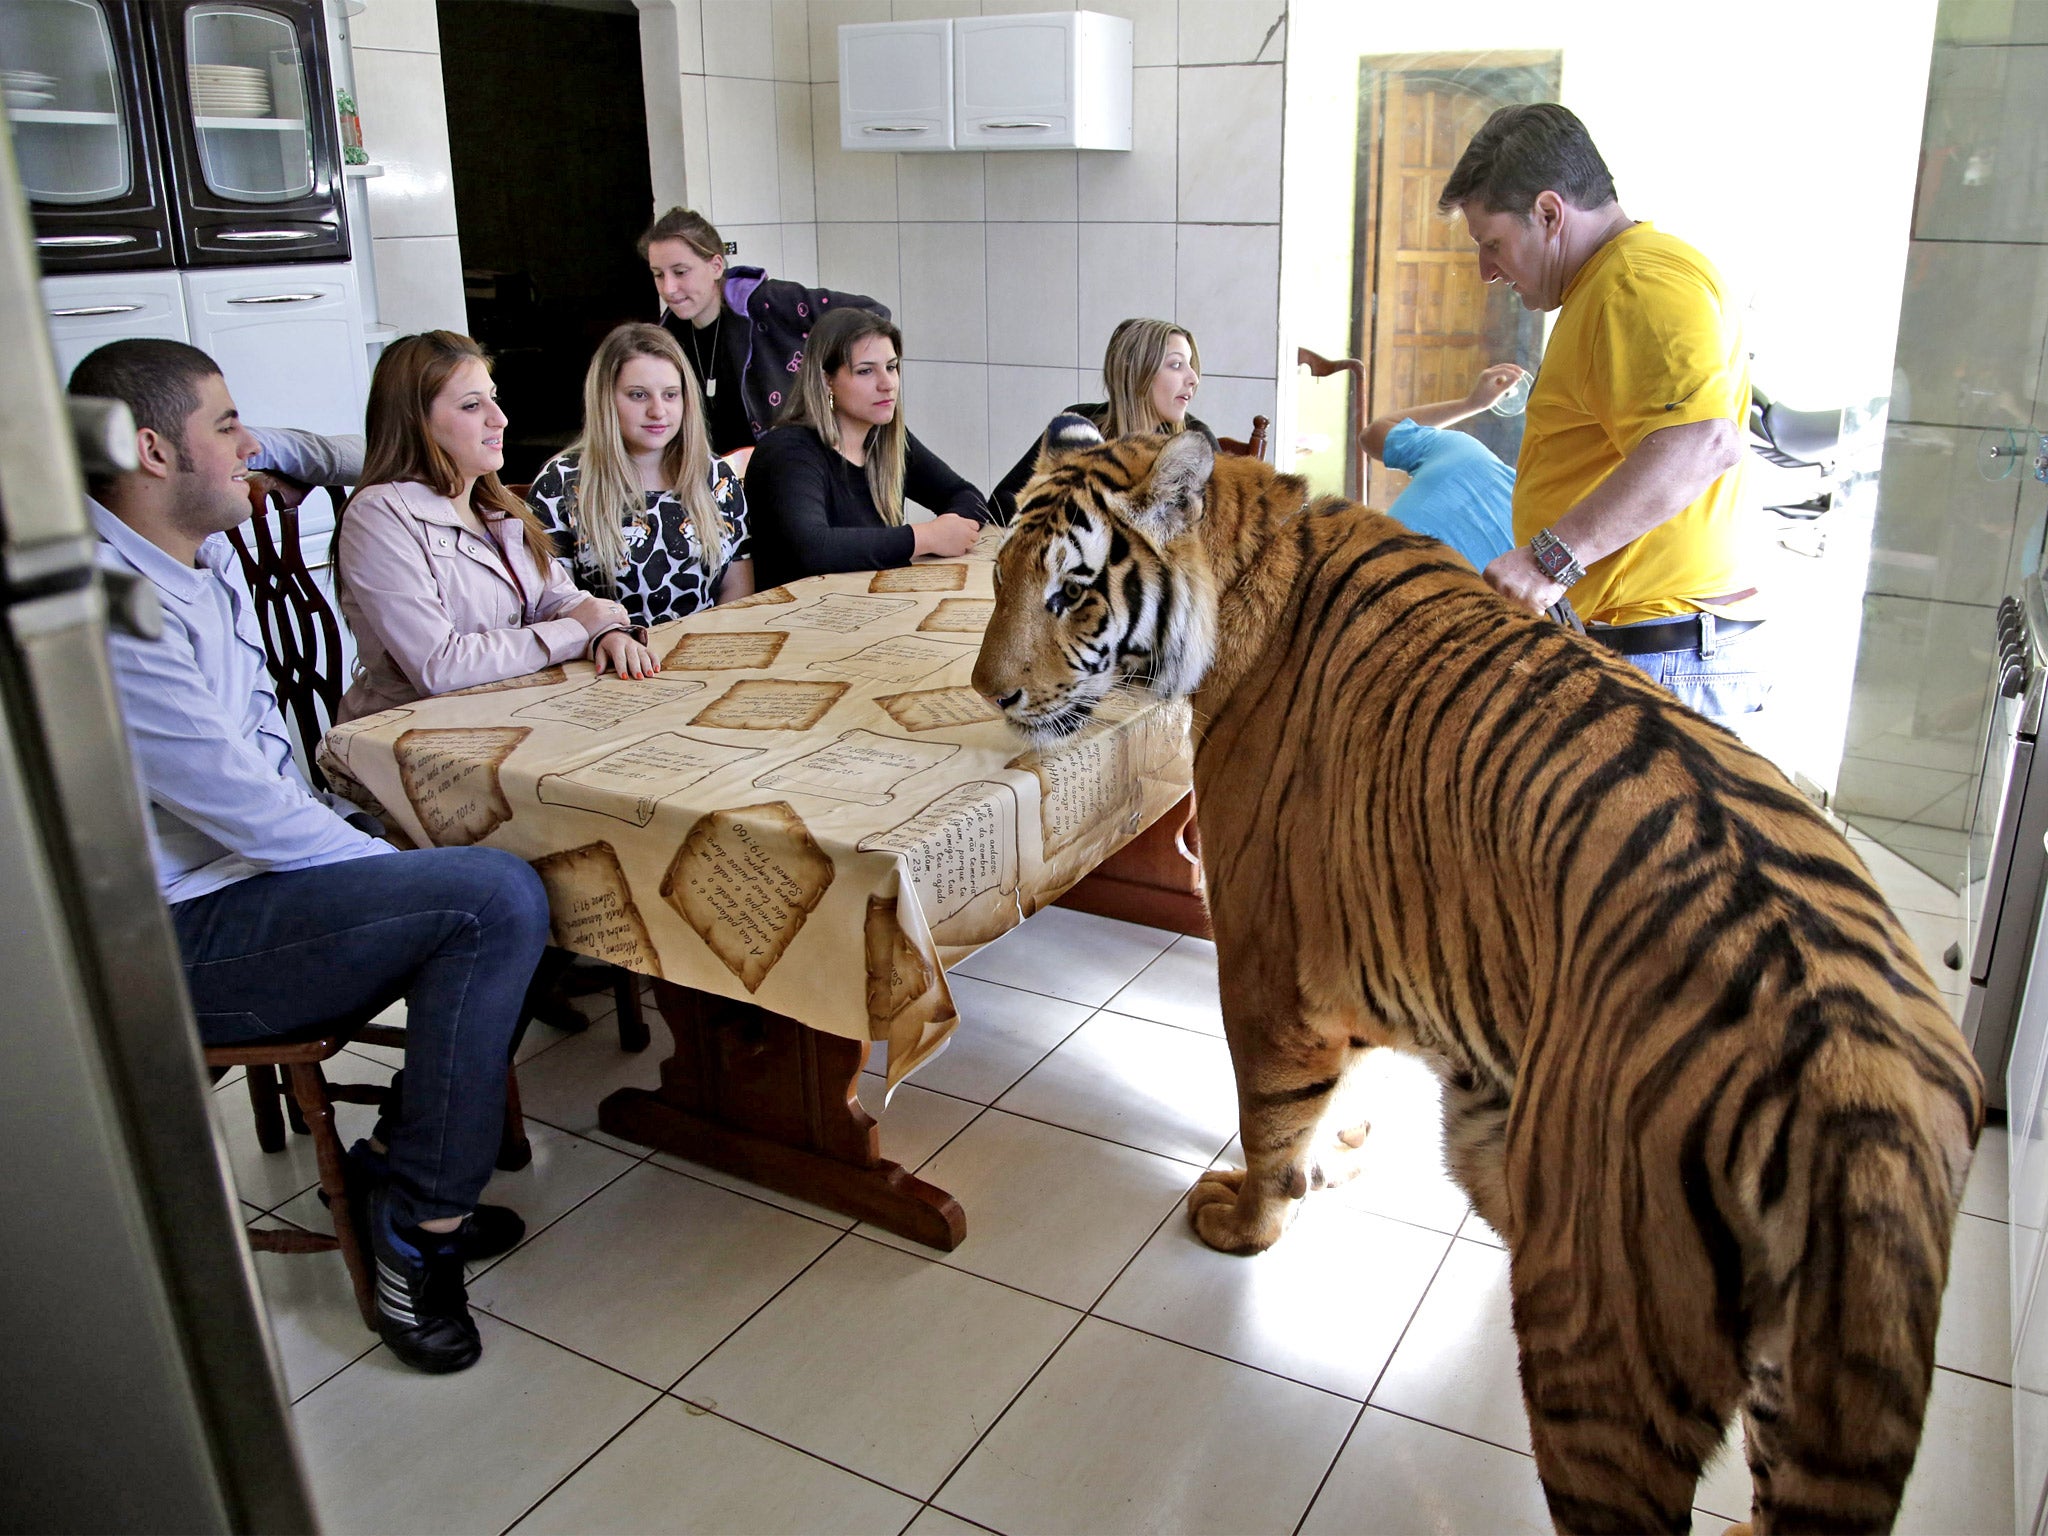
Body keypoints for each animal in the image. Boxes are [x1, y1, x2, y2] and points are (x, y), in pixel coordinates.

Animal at [970, 415, 1982, 1531]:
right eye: (998, 575)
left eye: (1070, 594)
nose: (988, 693)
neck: (1244, 572)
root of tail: (1854, 1077)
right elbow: (1343, 1088)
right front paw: (1345, 1153)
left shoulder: (1266, 956)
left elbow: (1269, 1114)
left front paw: (1250, 1220)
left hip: (1598, 1321)